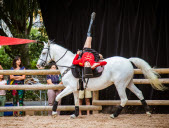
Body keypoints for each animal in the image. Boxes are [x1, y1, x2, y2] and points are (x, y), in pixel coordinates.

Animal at [36, 41, 166, 118]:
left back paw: (114, 115)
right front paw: (75, 114)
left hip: (120, 84)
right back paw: (148, 112)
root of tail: (128, 60)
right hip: (128, 83)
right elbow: (76, 102)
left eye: (44, 53)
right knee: (139, 93)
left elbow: (58, 97)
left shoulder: (70, 87)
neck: (69, 65)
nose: (38, 65)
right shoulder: (75, 89)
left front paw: (53, 112)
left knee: (124, 99)